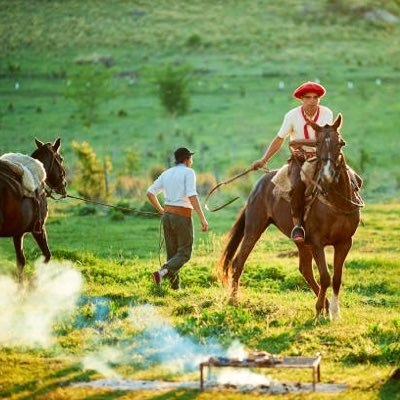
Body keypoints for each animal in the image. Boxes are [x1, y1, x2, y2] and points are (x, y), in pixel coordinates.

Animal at [0, 138, 66, 282]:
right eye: (61, 158)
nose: (64, 186)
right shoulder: (39, 230)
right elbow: (46, 256)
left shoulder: (18, 233)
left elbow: (20, 261)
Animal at [219, 115, 362, 318]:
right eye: (317, 144)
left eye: (340, 143)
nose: (327, 175)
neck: (336, 203)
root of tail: (259, 184)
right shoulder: (317, 242)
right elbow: (325, 277)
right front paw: (319, 311)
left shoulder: (344, 242)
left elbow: (336, 278)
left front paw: (334, 312)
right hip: (254, 228)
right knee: (239, 261)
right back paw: (233, 300)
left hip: (302, 242)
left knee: (305, 269)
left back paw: (326, 304)